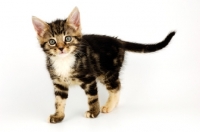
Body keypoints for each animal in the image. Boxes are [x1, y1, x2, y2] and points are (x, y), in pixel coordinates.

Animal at [31, 6, 175, 122]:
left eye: (68, 38)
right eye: (52, 42)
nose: (61, 48)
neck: (64, 60)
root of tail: (118, 41)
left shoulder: (89, 79)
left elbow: (93, 98)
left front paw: (94, 112)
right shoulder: (59, 83)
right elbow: (59, 101)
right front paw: (58, 116)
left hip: (108, 72)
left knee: (116, 86)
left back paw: (109, 106)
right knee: (117, 85)